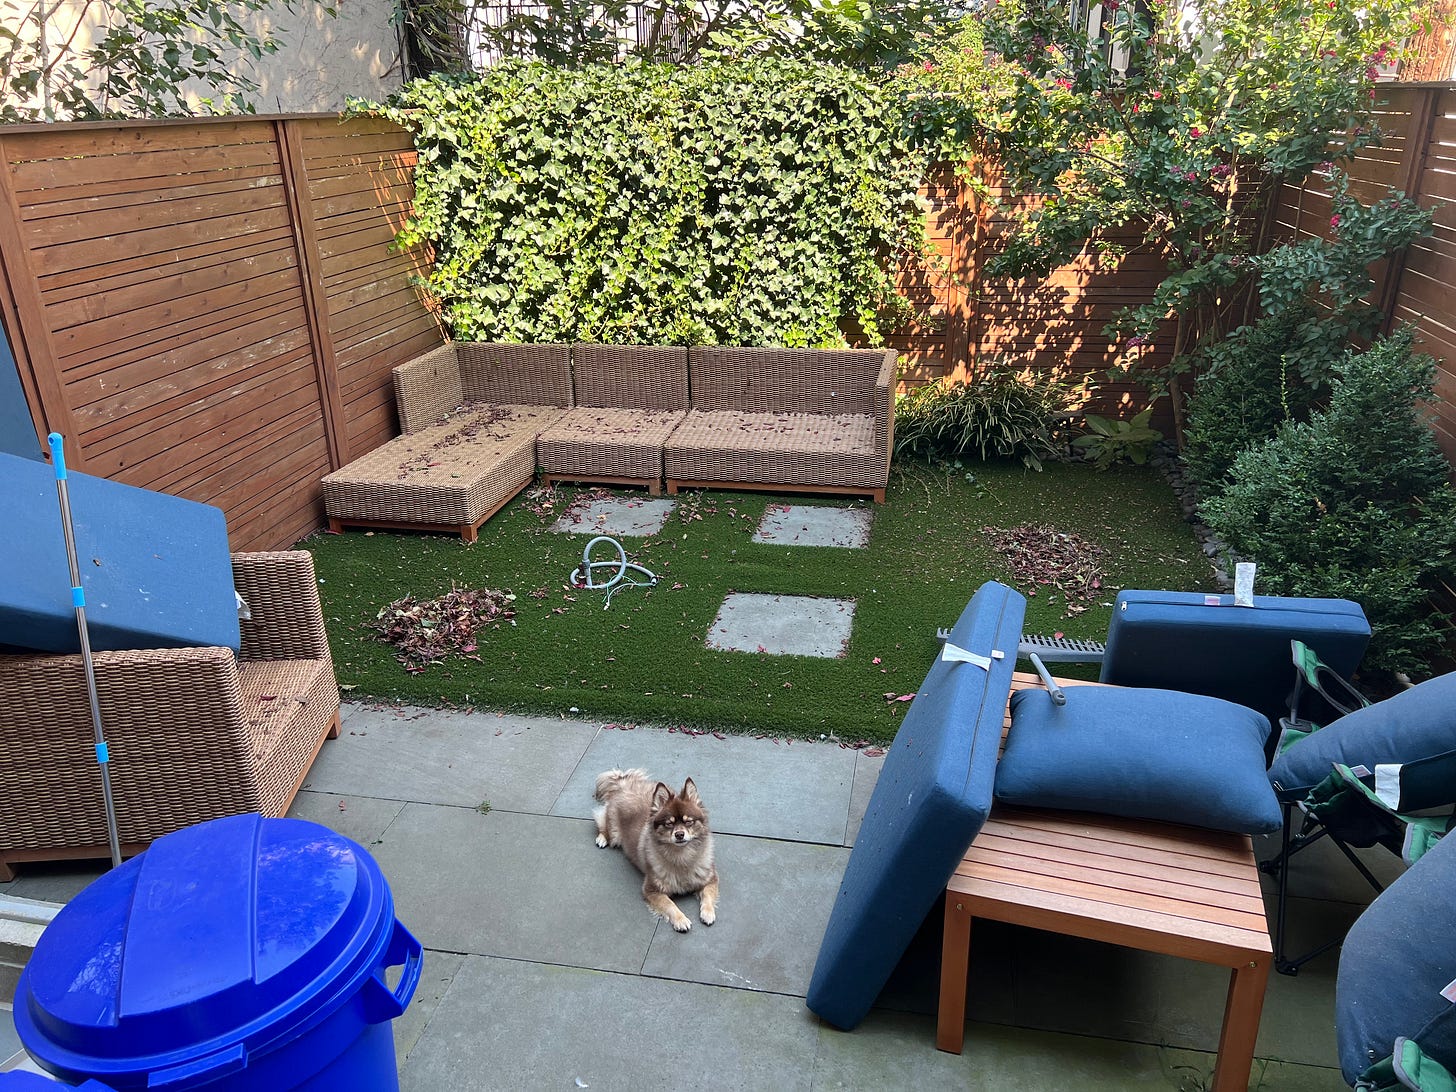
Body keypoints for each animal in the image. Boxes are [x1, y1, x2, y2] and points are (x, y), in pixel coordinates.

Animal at [593, 768, 718, 932]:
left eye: (688, 822)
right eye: (669, 824)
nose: (679, 834)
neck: (682, 856)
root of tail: (625, 783)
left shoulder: (710, 879)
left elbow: (708, 895)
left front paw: (708, 913)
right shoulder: (652, 890)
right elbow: (670, 904)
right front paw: (681, 920)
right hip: (614, 832)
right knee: (603, 824)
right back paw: (602, 839)